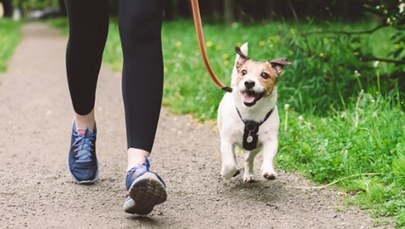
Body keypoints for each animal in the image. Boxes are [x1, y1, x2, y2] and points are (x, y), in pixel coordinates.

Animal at [216, 43, 288, 182]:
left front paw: (268, 171)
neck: (251, 114)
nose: (249, 82)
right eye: (244, 72)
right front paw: (227, 173)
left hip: (256, 147)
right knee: (233, 157)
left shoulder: (270, 140)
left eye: (264, 75)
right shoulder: (227, 140)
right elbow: (229, 163)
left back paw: (248, 173)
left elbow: (268, 157)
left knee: (249, 158)